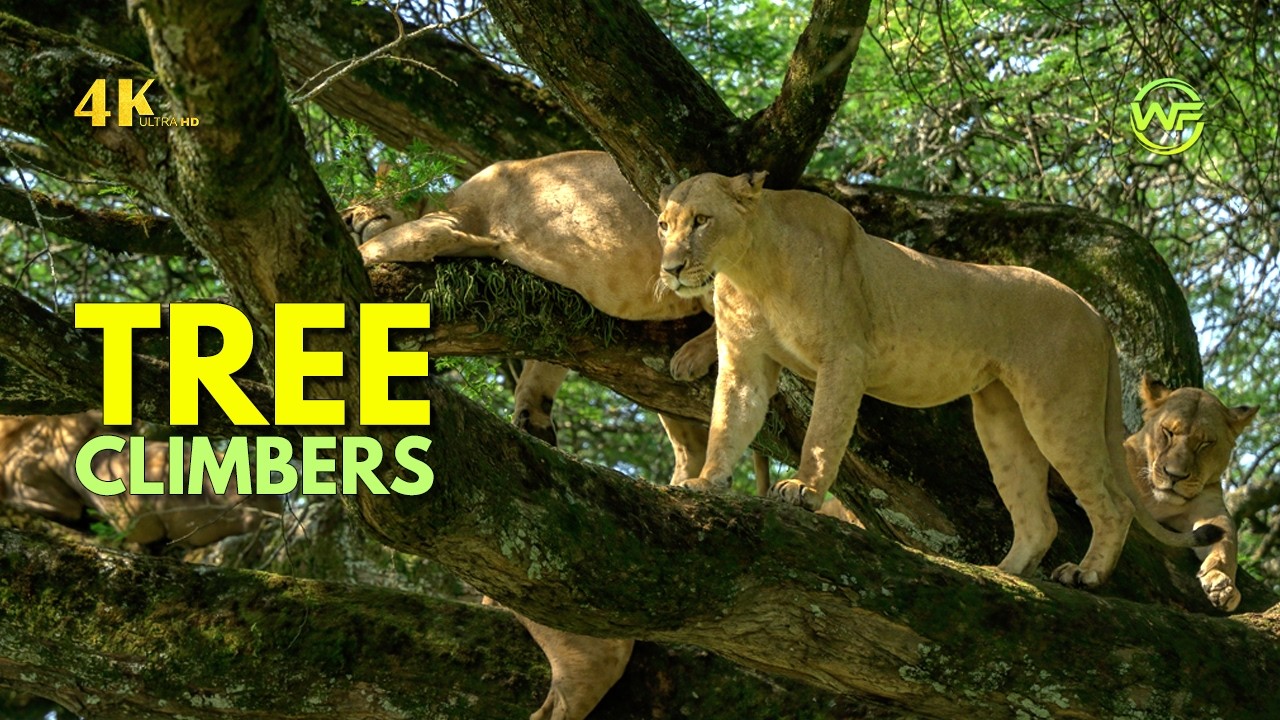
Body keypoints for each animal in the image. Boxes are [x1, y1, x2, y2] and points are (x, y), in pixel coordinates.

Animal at [657, 169, 1220, 590]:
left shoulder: (845, 355)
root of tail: (1095, 313)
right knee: (1040, 519)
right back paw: (1003, 574)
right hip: (1001, 416)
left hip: (1058, 408)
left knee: (1114, 503)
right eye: (664, 225)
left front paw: (802, 490)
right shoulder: (744, 362)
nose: (672, 268)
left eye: (702, 221)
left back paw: (1086, 574)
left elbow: (822, 435)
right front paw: (704, 482)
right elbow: (727, 425)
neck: (751, 269)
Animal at [1125, 376, 1258, 611]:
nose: (1174, 475)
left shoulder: (1210, 511)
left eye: (1205, 443)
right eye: (1168, 432)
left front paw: (1221, 583)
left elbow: (1227, 541)